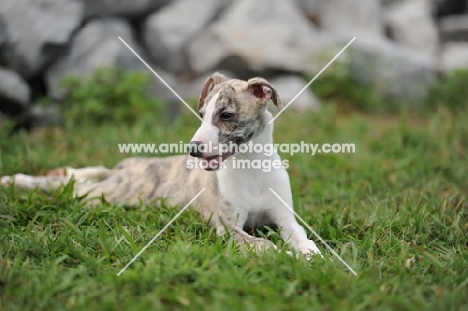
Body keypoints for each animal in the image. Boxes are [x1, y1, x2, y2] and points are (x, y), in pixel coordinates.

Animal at [0, 73, 322, 258]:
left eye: (227, 115)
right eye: (202, 114)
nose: (192, 151)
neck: (250, 168)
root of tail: (129, 166)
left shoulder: (285, 218)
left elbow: (301, 237)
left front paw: (312, 256)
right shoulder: (228, 227)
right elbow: (262, 245)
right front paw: (283, 257)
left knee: (86, 175)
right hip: (109, 194)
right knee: (67, 186)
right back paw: (17, 181)